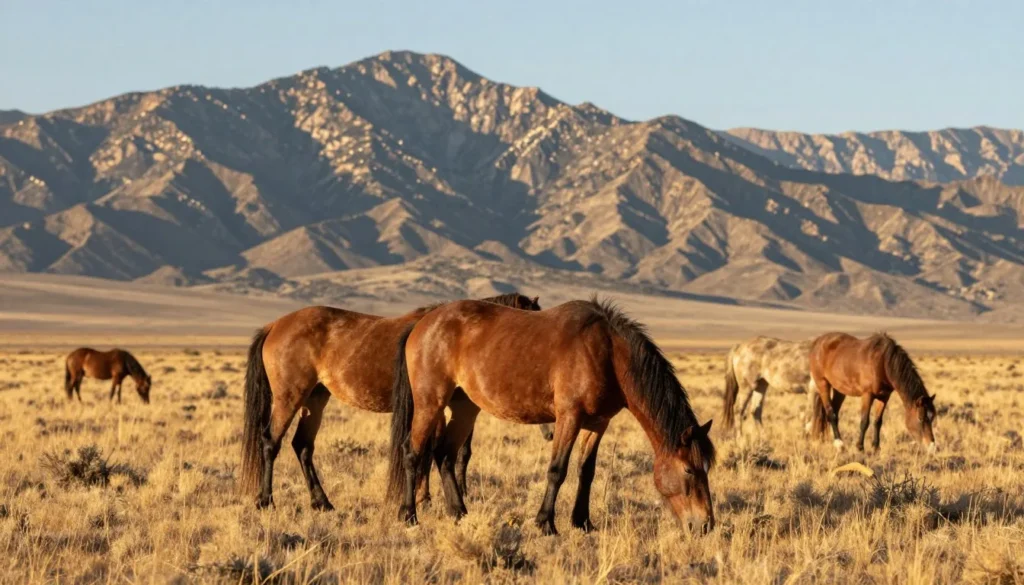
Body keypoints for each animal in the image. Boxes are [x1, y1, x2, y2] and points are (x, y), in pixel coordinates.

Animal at [239, 293, 541, 511]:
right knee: (270, 442)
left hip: (315, 399)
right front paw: (424, 499)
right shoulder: (435, 408)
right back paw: (266, 501)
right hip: (289, 397)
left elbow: (451, 452)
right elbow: (433, 451)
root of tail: (275, 326)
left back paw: (321, 502)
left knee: (302, 446)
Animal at [386, 297, 716, 536]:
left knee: (444, 454)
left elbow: (586, 471)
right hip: (430, 403)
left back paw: (459, 513)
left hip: (465, 406)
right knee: (412, 452)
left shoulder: (598, 424)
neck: (608, 353)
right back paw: (408, 515)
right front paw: (546, 523)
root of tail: (423, 322)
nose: (705, 525)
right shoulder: (569, 417)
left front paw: (582, 522)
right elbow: (558, 470)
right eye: (689, 470)